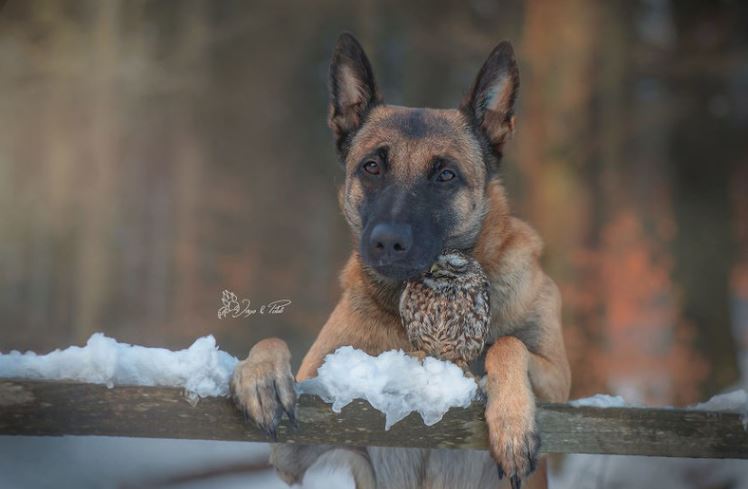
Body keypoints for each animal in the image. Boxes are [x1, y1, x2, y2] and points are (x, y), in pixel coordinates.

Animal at [234, 32, 572, 486]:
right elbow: (271, 341)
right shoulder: (303, 440)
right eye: (372, 166)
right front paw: (259, 376)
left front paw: (512, 422)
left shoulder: (560, 385)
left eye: (445, 175)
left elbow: (508, 343)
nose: (387, 242)